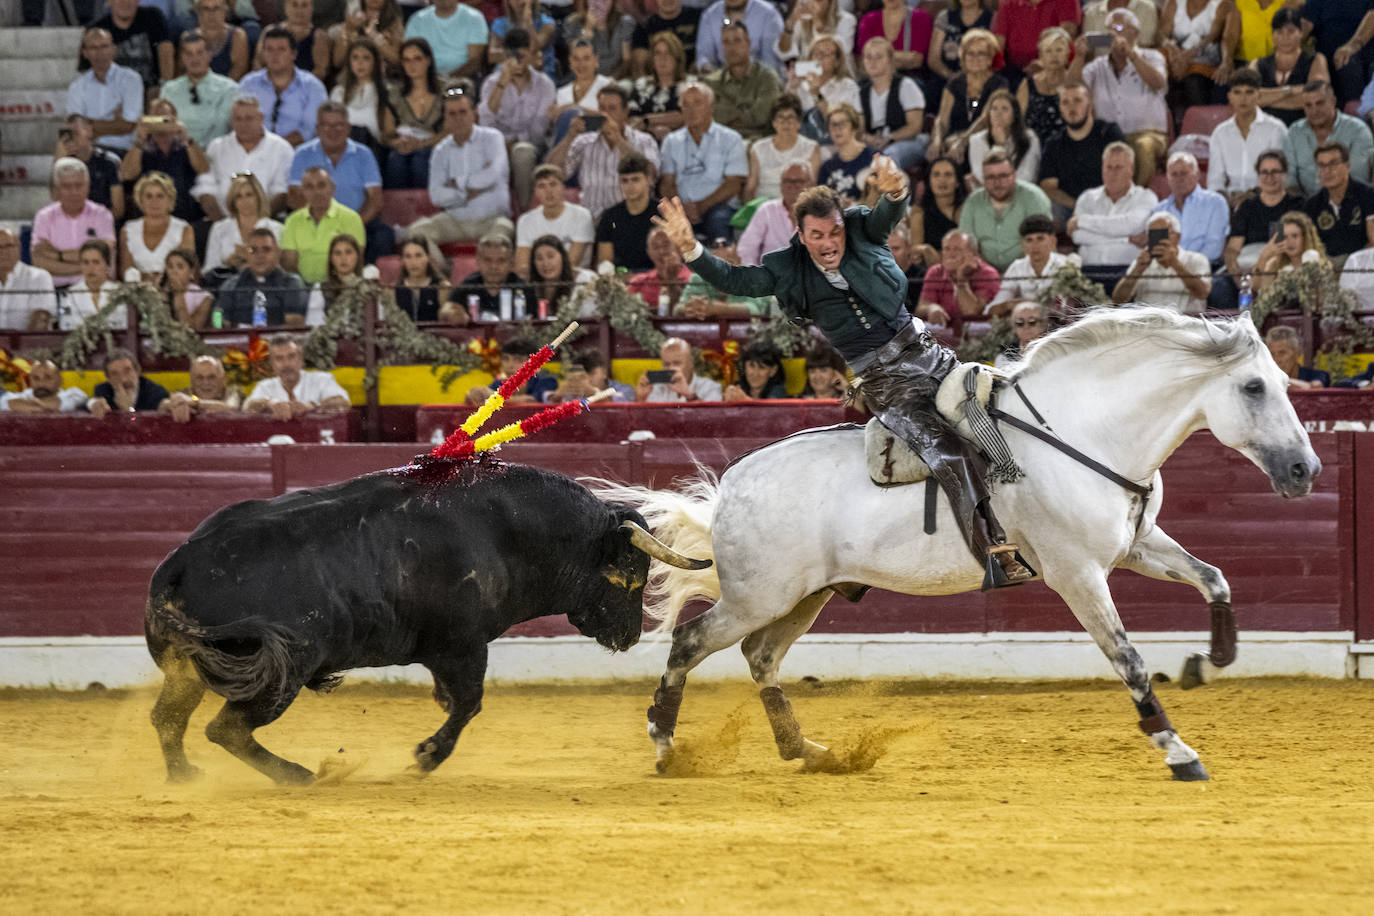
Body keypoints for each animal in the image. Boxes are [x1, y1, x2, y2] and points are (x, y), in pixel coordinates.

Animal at [146, 455, 708, 785]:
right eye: (631, 576)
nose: (629, 637)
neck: (508, 529)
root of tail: (179, 563)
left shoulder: (445, 653)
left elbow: (453, 700)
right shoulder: (463, 645)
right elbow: (468, 703)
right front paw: (426, 757)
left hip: (190, 669)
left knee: (168, 717)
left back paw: (184, 777)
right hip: (282, 672)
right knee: (226, 728)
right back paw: (301, 775)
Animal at [601, 307, 1319, 780]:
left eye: (1285, 383)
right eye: (1253, 386)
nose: (1305, 470)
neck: (1082, 432)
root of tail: (731, 486)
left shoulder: (1135, 547)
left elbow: (1215, 576)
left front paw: (1209, 660)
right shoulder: (1079, 574)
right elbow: (1130, 659)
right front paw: (1178, 750)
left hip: (806, 596)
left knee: (760, 657)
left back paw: (809, 752)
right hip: (759, 596)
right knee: (692, 641)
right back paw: (665, 745)